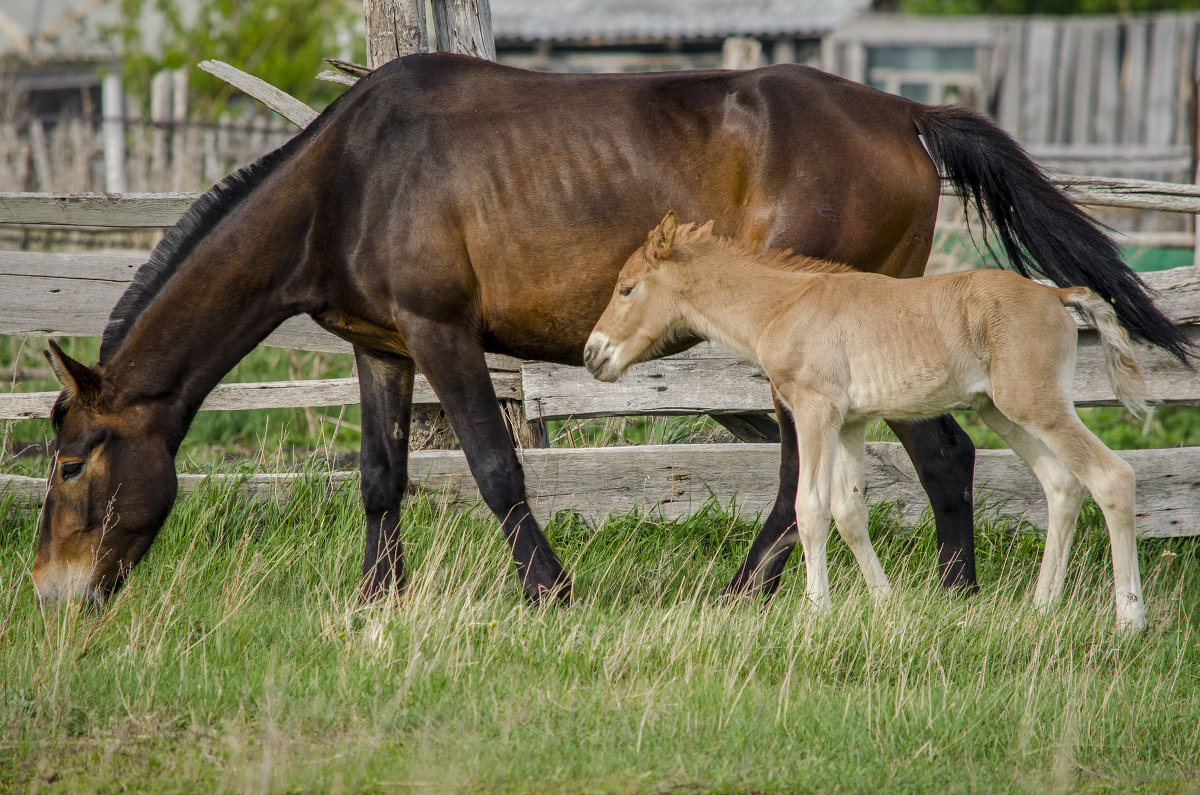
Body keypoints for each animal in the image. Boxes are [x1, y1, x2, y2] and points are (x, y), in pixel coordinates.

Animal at [585, 213, 1147, 634]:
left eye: (626, 289)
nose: (593, 354)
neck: (785, 306)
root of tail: (1055, 296)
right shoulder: (851, 423)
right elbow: (849, 511)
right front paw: (885, 604)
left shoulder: (815, 409)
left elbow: (810, 507)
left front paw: (817, 611)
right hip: (1003, 412)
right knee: (1062, 485)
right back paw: (1042, 606)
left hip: (1037, 404)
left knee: (1111, 477)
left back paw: (1129, 620)